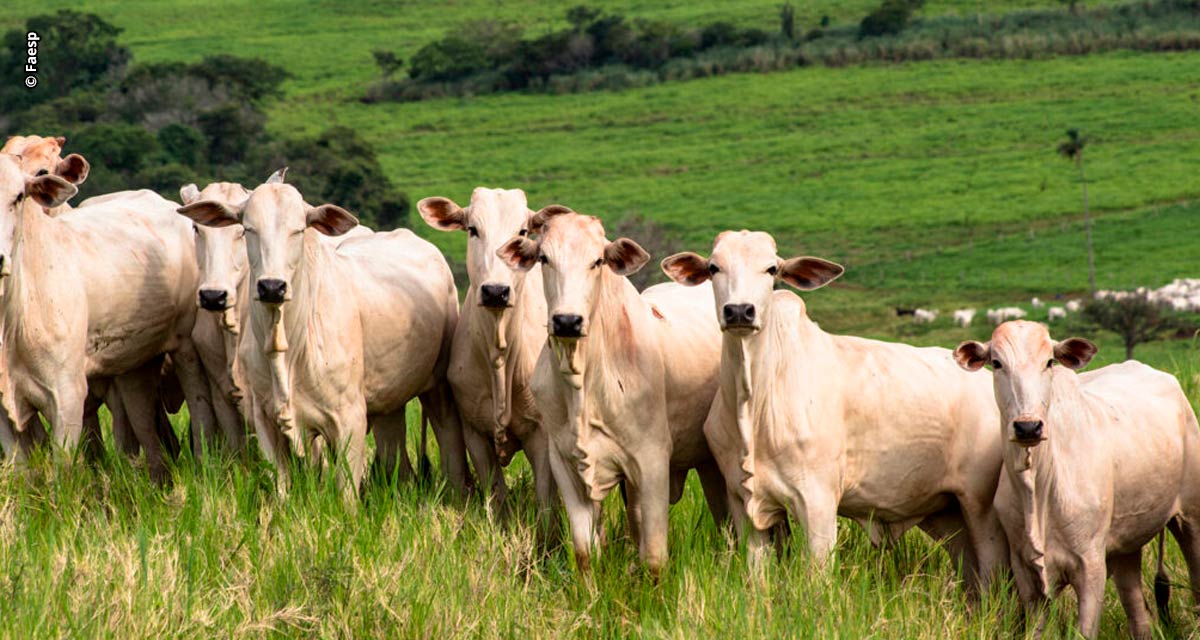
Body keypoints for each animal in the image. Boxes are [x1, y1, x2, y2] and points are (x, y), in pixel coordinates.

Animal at [177, 182, 468, 497]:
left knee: (450, 443)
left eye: (298, 230)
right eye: (249, 228)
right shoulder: (264, 420)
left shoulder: (350, 420)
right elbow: (281, 491)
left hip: (439, 391)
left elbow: (346, 494)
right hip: (389, 403)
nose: (272, 287)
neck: (287, 346)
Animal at [417, 188, 556, 528]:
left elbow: (546, 503)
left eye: (523, 232)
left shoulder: (543, 435)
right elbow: (497, 496)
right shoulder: (474, 433)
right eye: (472, 229)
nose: (495, 291)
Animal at [494, 204, 720, 573]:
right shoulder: (566, 464)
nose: (567, 321)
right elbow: (585, 552)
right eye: (544, 258)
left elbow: (654, 558)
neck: (584, 383)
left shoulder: (652, 461)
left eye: (597, 260)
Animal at [662, 228, 1008, 588]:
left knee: (993, 571)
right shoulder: (744, 504)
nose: (740, 311)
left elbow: (816, 577)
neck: (754, 402)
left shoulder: (818, 503)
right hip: (948, 514)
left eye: (771, 269)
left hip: (981, 510)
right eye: (714, 267)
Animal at [960, 321, 1200, 633]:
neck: (1039, 490)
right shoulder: (1025, 572)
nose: (1028, 427)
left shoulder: (1091, 567)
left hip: (1191, 520)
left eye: (1049, 362)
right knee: (1137, 611)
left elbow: (1085, 630)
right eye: (997, 363)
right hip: (1127, 546)